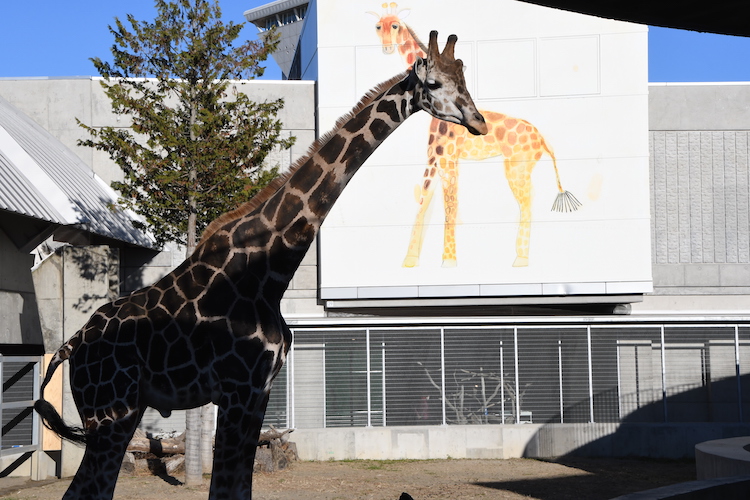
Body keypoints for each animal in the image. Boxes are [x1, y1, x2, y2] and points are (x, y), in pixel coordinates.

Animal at [33, 31, 488, 500]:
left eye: (464, 79)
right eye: (433, 84)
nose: (479, 122)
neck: (270, 272)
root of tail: (70, 345)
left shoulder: (260, 389)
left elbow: (239, 485)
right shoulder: (240, 388)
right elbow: (226, 486)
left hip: (123, 412)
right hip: (110, 412)